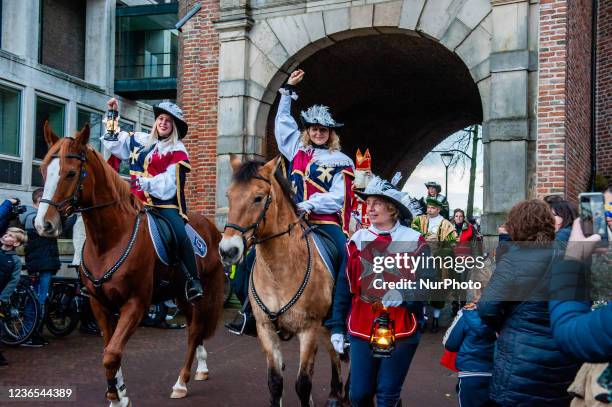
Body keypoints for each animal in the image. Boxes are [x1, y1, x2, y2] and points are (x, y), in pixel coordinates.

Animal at [35, 124, 224, 407]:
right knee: (196, 328)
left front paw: (117, 394)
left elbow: (111, 353)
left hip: (197, 294)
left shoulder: (135, 304)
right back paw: (200, 368)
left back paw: (181, 382)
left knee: (194, 332)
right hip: (181, 295)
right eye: (44, 170)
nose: (43, 224)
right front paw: (119, 393)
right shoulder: (100, 304)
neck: (109, 241)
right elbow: (109, 350)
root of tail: (213, 229)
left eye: (70, 173)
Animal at [220, 157, 344, 407]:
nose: (228, 251)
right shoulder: (265, 329)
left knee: (338, 352)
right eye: (229, 195)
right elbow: (275, 382)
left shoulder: (309, 329)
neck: (280, 271)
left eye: (258, 197)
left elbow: (303, 384)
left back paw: (337, 395)